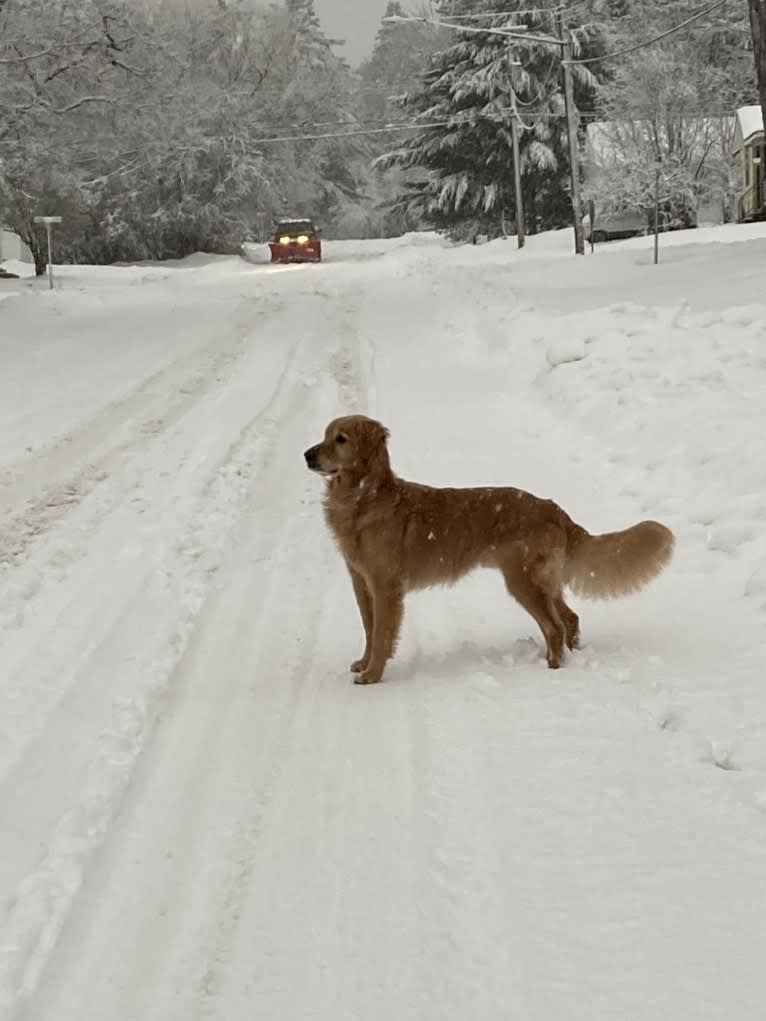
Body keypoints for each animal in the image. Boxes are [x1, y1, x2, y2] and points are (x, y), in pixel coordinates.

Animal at [302, 414, 674, 686]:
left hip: (522, 580)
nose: (307, 455)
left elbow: (381, 634)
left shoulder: (385, 586)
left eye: (341, 439)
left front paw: (373, 675)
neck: (364, 496)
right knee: (569, 618)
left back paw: (553, 667)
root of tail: (554, 508)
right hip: (542, 580)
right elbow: (369, 629)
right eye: (325, 434)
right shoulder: (361, 581)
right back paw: (570, 655)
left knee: (554, 626)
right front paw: (363, 663)